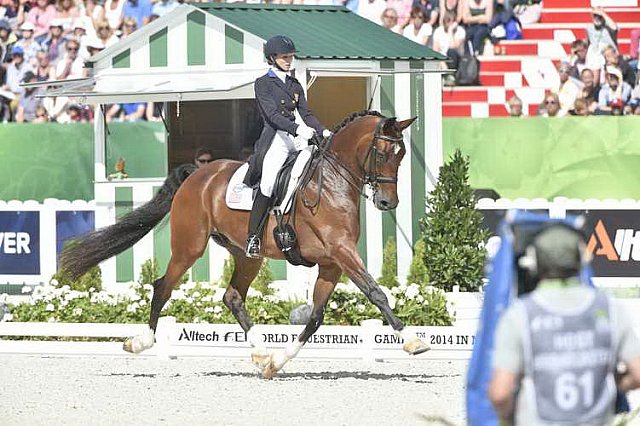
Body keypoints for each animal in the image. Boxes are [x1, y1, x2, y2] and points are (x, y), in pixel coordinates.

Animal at [60, 110, 430, 380]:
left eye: (401, 154)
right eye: (381, 152)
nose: (388, 202)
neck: (331, 182)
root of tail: (198, 174)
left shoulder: (331, 263)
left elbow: (315, 318)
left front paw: (277, 363)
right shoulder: (341, 252)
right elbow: (376, 293)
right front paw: (414, 341)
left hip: (247, 255)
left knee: (233, 297)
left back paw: (261, 352)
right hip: (189, 247)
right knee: (163, 286)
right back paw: (141, 342)